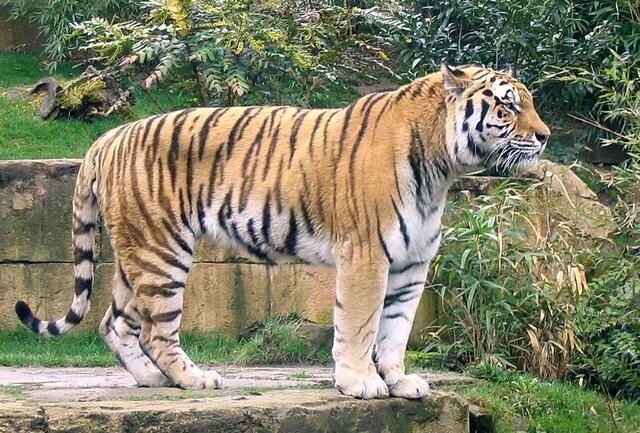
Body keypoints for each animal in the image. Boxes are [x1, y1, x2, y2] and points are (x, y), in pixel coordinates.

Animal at [15, 63, 550, 399]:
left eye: (530, 104)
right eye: (507, 106)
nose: (545, 136)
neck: (442, 168)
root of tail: (107, 136)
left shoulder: (412, 264)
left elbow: (396, 330)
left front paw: (400, 382)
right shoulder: (367, 256)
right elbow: (360, 326)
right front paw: (360, 383)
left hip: (136, 252)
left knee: (114, 322)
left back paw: (151, 380)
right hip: (161, 251)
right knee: (156, 329)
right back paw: (193, 379)